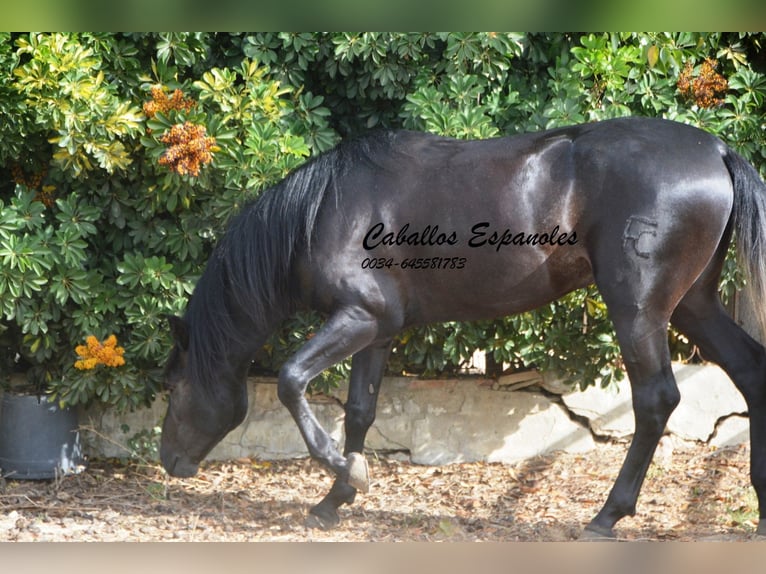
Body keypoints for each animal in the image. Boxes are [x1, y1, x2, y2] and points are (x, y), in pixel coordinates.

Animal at [159, 117, 766, 540]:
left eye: (173, 386)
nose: (168, 461)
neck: (324, 212)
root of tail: (715, 150)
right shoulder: (378, 329)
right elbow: (359, 411)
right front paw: (335, 499)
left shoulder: (358, 317)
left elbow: (290, 380)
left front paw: (344, 471)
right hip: (693, 305)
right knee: (749, 372)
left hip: (638, 309)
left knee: (656, 399)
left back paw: (607, 516)